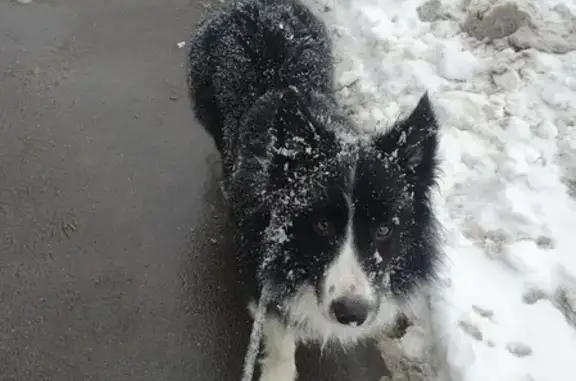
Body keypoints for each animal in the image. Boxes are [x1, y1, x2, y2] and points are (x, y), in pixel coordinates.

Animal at [189, 0, 440, 378]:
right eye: (321, 225)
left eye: (384, 229)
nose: (351, 315)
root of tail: (256, 5)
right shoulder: (261, 273)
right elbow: (279, 330)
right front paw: (277, 372)